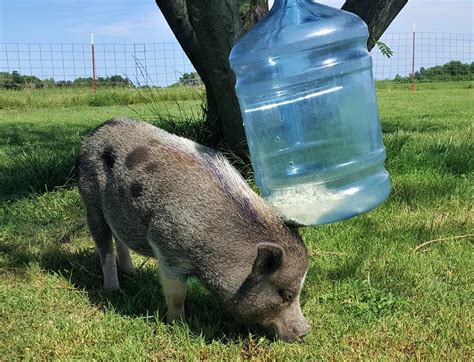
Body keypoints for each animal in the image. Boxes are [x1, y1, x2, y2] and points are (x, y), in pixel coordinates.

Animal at [75, 119, 312, 342]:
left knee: (119, 238)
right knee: (104, 244)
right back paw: (113, 290)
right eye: (286, 294)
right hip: (90, 199)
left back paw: (131, 274)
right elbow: (176, 294)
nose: (306, 331)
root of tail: (98, 130)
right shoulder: (168, 249)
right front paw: (177, 326)